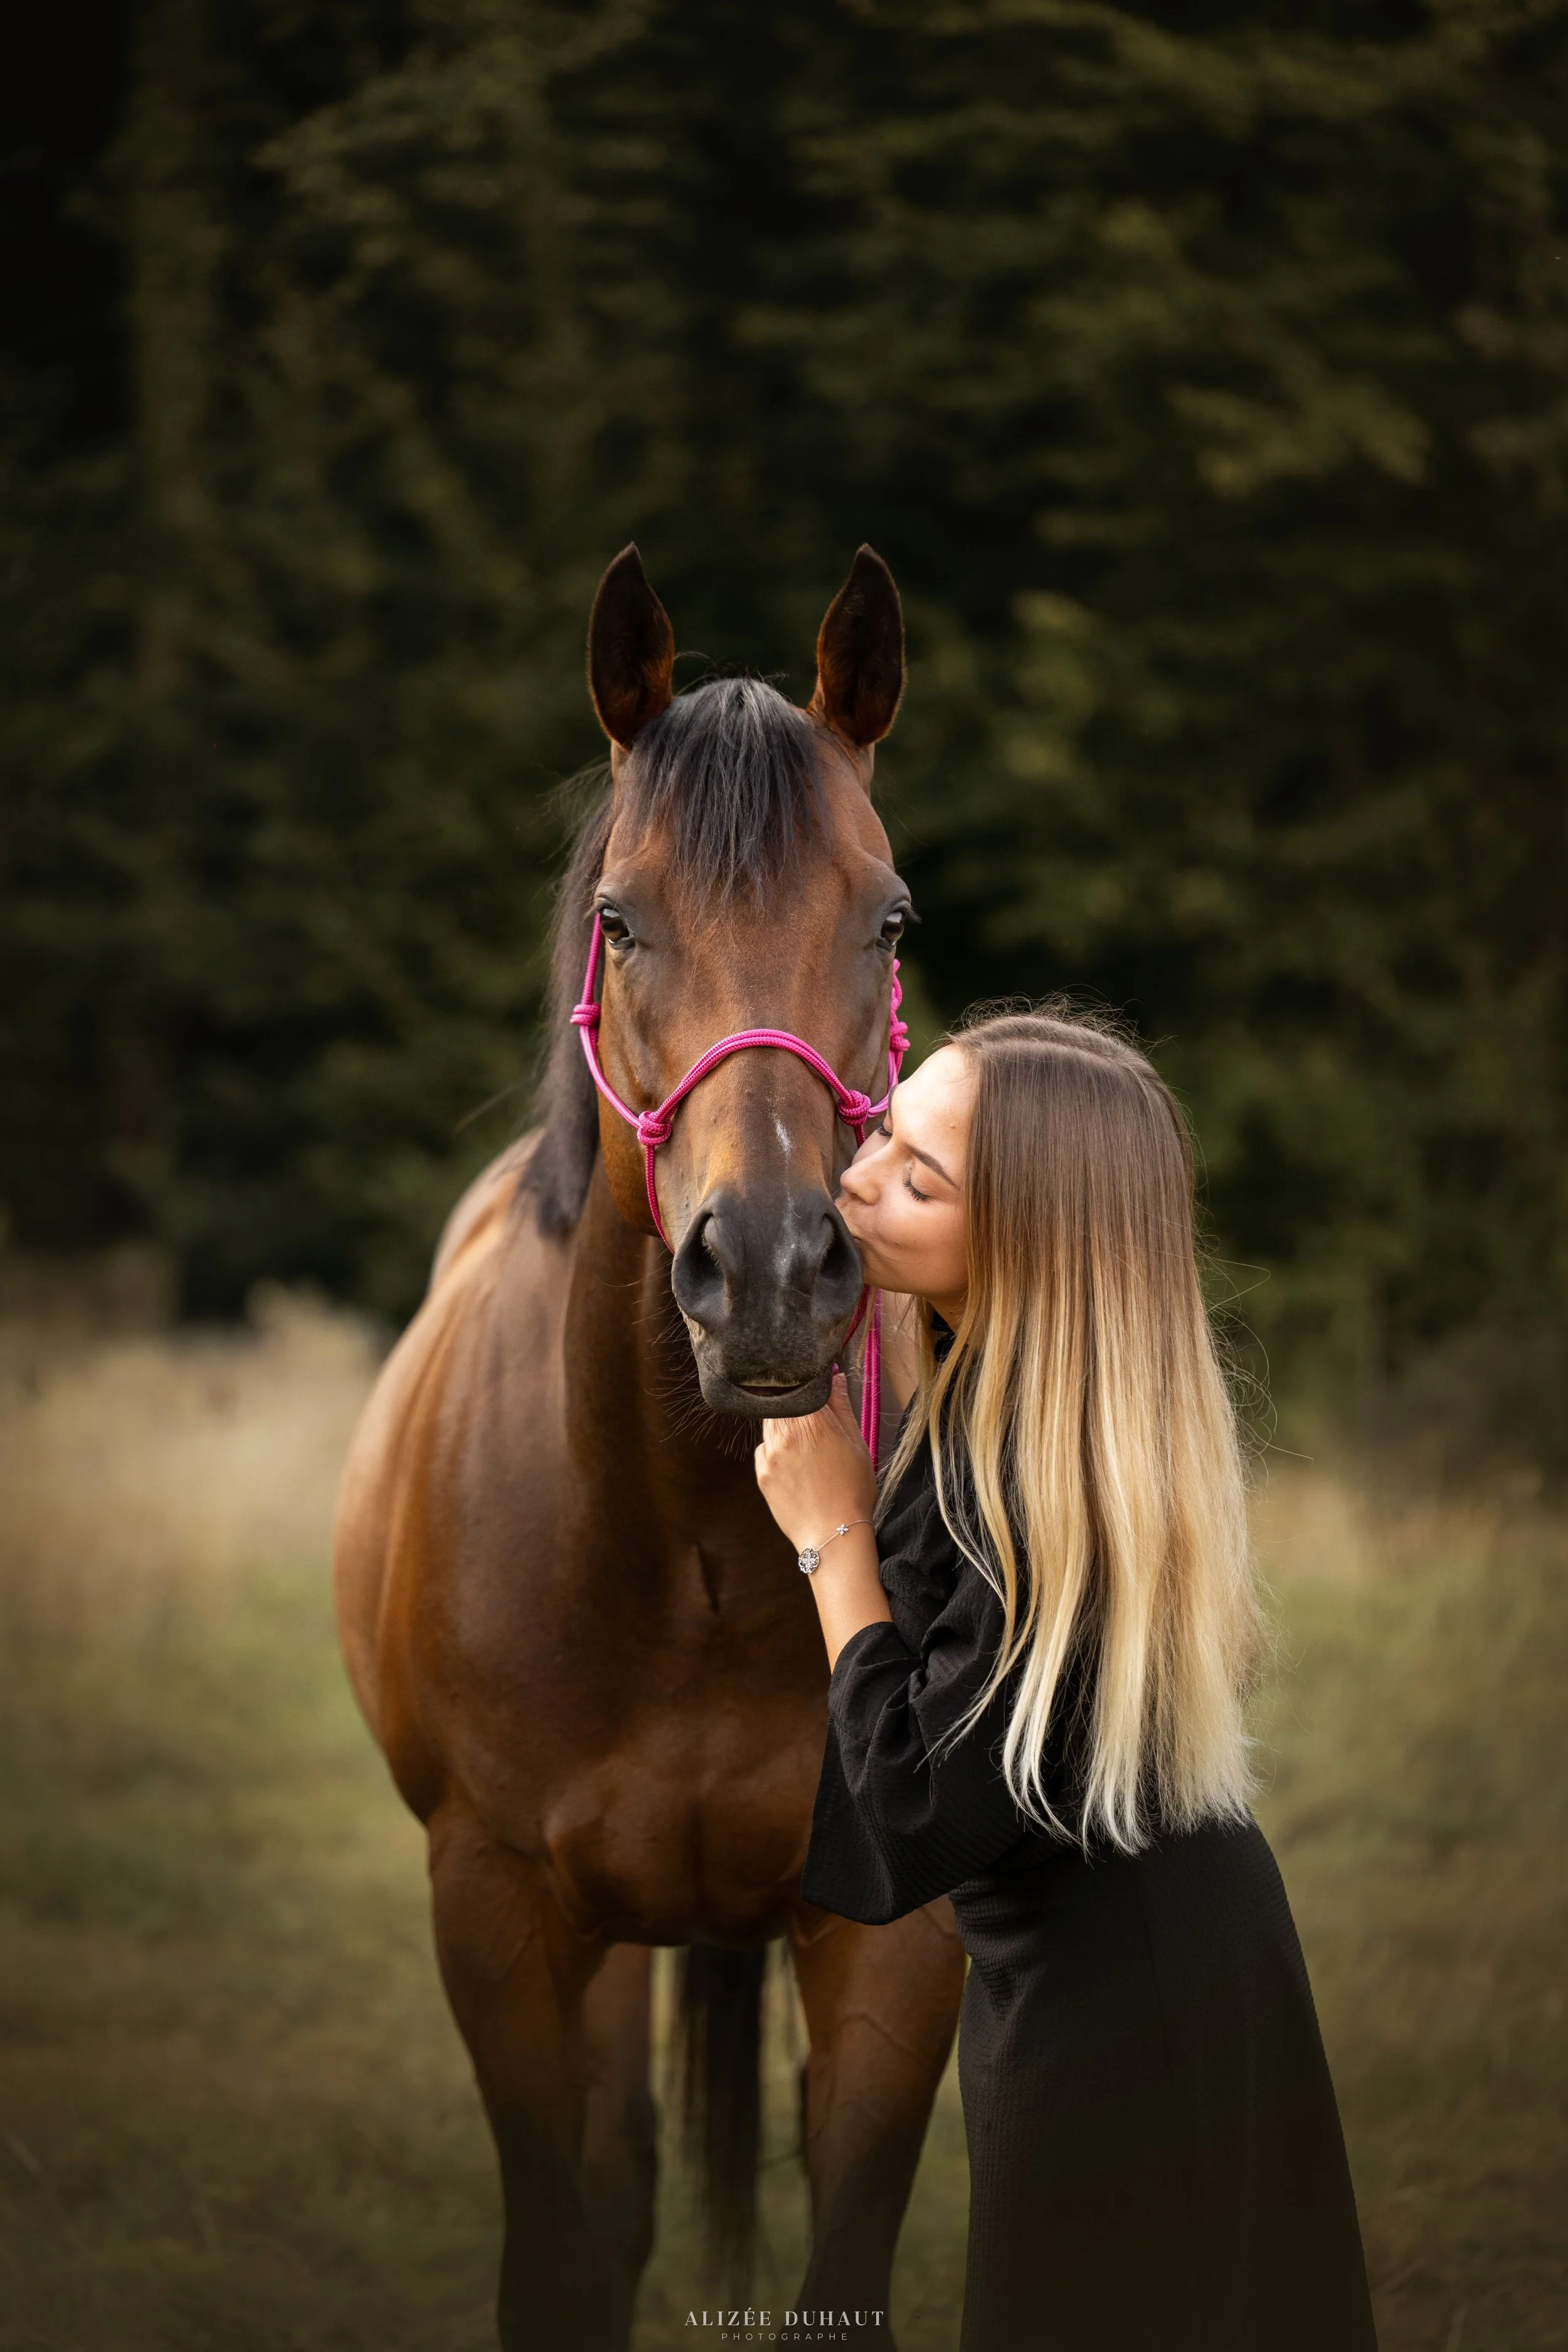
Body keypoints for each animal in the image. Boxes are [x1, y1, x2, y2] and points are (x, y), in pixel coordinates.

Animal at [332, 546, 967, 2350]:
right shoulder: (497, 1912)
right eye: (622, 919)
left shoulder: (895, 1937)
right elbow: (562, 2251)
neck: (678, 1552)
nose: (762, 1269)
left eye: (886, 918)